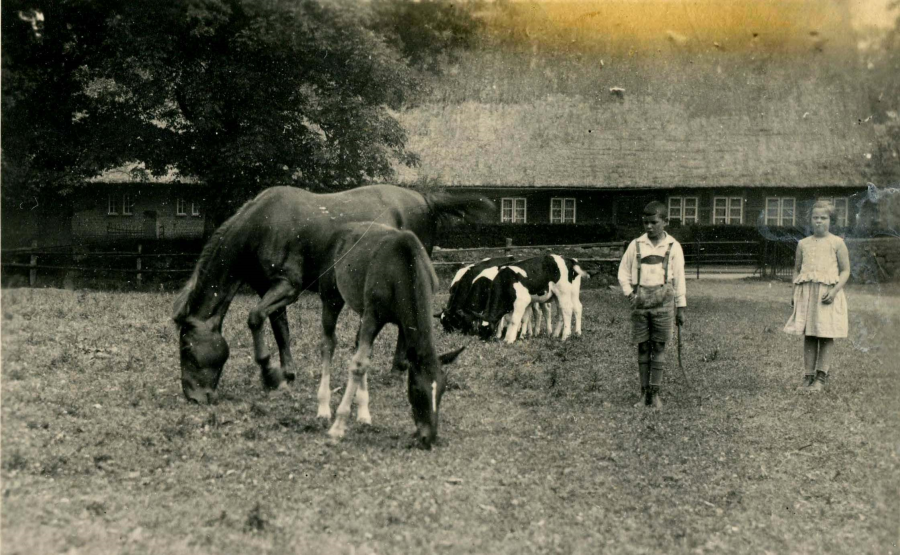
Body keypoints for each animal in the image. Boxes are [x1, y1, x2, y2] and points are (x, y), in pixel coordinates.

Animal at [171, 185, 488, 406]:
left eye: (186, 348)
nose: (193, 396)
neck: (264, 224)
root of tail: (425, 199)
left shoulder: (288, 286)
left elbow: (255, 317)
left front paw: (269, 372)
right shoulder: (269, 289)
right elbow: (280, 330)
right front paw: (286, 376)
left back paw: (397, 370)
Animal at [318, 224, 464, 450]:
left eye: (443, 389)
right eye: (416, 389)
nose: (428, 438)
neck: (403, 268)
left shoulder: (404, 323)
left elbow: (397, 362)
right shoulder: (373, 315)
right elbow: (358, 364)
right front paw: (338, 428)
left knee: (358, 344)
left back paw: (363, 413)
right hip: (331, 297)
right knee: (328, 343)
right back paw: (323, 408)